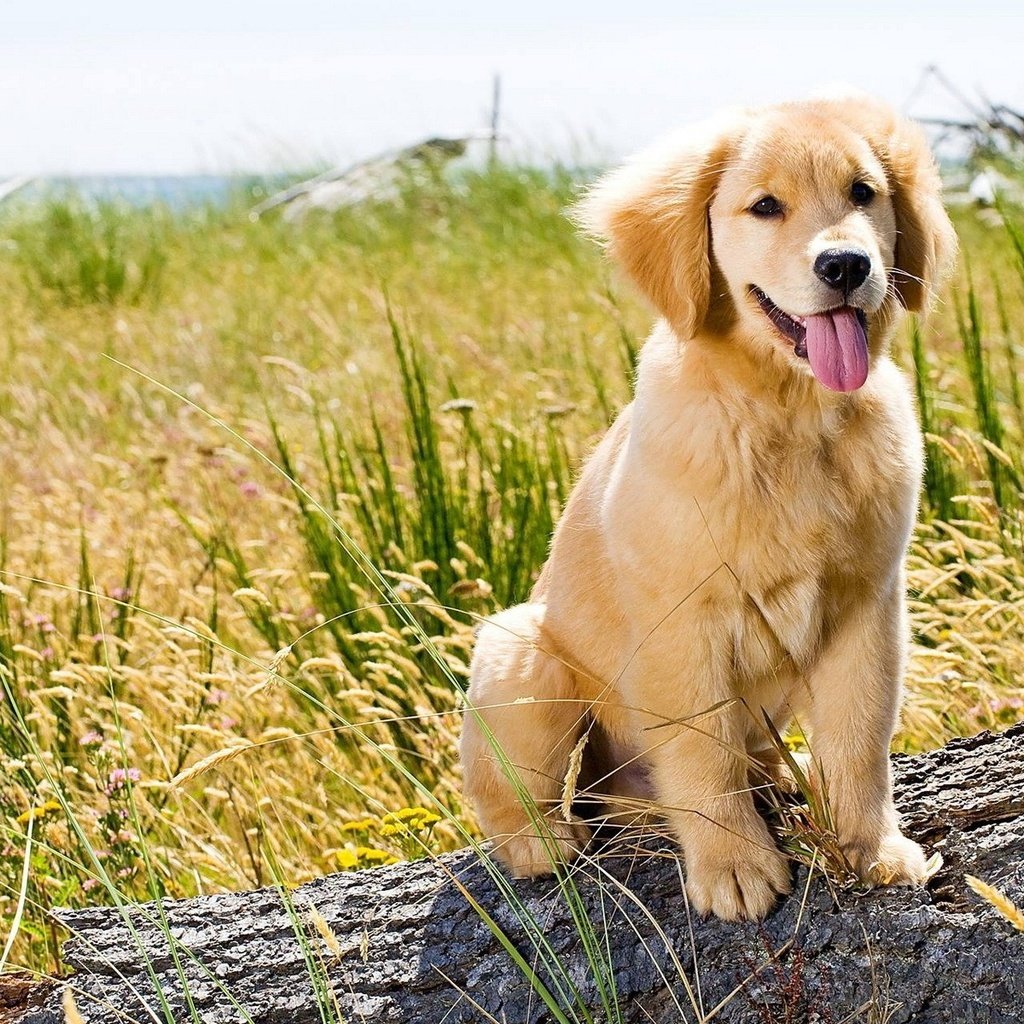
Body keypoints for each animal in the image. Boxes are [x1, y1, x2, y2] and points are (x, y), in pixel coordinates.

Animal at [460, 94, 954, 921]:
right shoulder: (682, 624)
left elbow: (859, 741)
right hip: (522, 651)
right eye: (765, 206)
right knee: (514, 790)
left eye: (863, 193)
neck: (789, 416)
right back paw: (539, 844)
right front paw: (733, 866)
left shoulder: (868, 607)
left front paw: (870, 848)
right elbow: (700, 751)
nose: (846, 265)